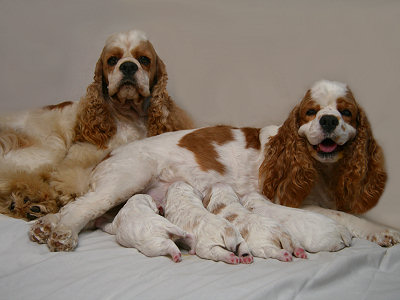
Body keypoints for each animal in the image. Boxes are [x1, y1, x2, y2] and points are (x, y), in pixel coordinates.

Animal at [0, 29, 194, 220]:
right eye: (112, 60)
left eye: (144, 59)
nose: (128, 66)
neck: (128, 117)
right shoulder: (80, 155)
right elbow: (75, 178)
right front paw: (68, 194)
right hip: (48, 148)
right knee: (10, 176)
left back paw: (27, 203)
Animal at [30, 81, 400, 258]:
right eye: (311, 111)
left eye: (346, 112)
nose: (328, 121)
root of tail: (110, 153)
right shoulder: (291, 201)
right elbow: (345, 216)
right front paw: (381, 230)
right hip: (129, 177)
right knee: (80, 207)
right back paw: (60, 233)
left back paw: (44, 227)